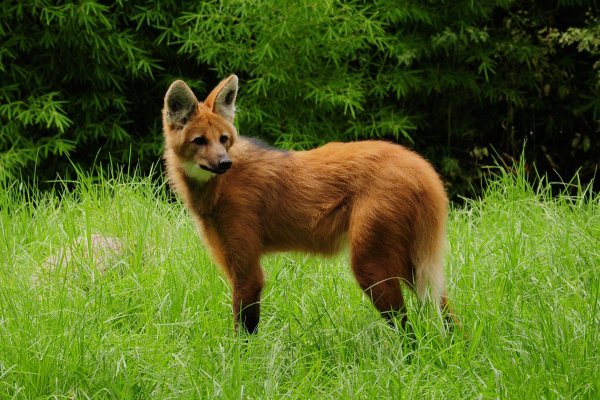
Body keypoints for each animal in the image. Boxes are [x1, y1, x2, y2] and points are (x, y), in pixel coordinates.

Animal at [162, 76, 452, 334]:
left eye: (223, 139)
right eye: (200, 140)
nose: (224, 163)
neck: (218, 186)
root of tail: (422, 167)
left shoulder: (246, 269)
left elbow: (243, 331)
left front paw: (241, 360)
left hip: (371, 264)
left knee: (408, 329)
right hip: (409, 260)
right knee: (445, 310)